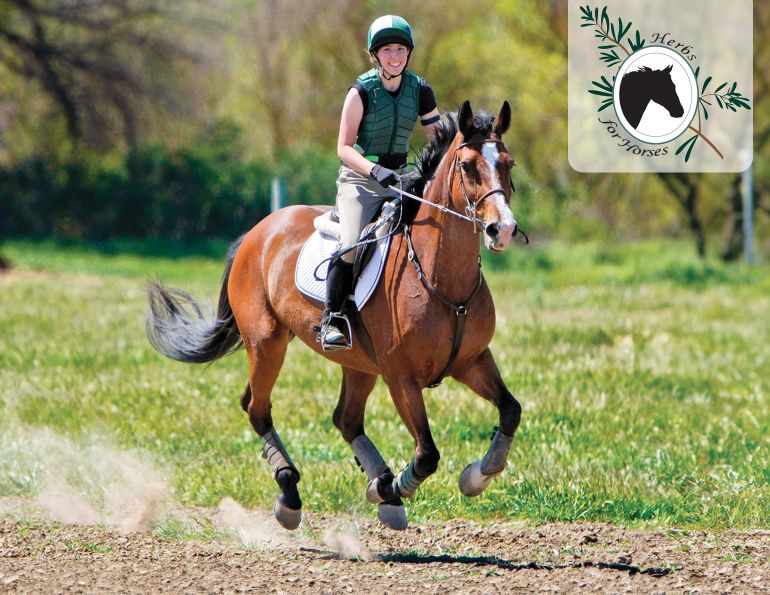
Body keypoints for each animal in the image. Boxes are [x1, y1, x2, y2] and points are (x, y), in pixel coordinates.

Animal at [146, 100, 522, 531]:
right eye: (469, 166)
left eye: (508, 163)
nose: (502, 229)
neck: (442, 277)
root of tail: (258, 231)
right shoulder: (401, 378)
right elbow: (427, 454)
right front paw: (391, 488)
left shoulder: (472, 361)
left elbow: (510, 411)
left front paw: (477, 475)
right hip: (267, 343)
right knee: (257, 408)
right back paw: (292, 494)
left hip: (357, 363)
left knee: (345, 419)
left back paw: (384, 493)